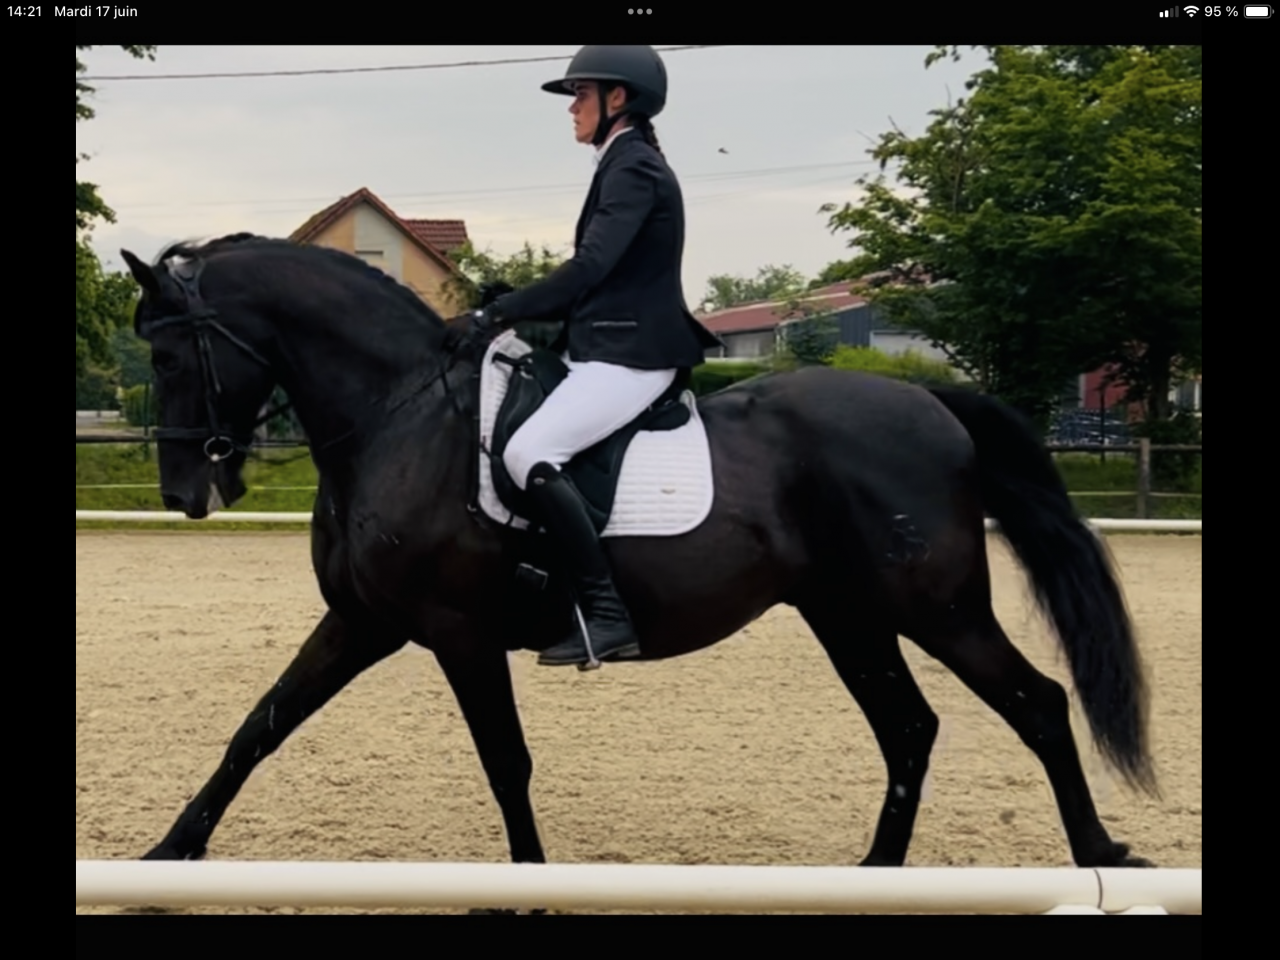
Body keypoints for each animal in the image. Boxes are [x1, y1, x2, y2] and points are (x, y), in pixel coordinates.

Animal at [114, 233, 1158, 896]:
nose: (186, 492)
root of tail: (934, 403)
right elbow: (258, 727)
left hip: (935, 606)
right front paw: (165, 854)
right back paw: (874, 877)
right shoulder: (364, 622)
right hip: (849, 616)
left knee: (1034, 704)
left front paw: (530, 888)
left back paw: (1102, 854)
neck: (397, 417)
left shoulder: (456, 632)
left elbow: (506, 764)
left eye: (168, 359)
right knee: (909, 730)